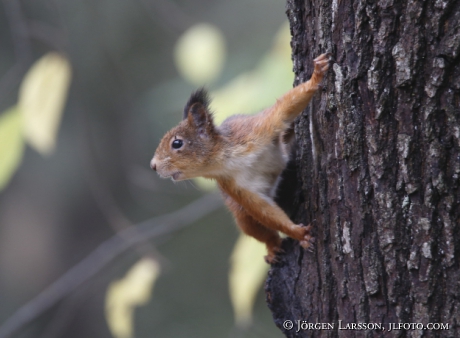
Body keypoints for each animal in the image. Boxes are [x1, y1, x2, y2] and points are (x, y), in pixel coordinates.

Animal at [151, 53, 330, 264]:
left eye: (177, 143)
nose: (153, 165)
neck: (226, 160)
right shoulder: (235, 187)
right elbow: (263, 211)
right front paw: (298, 234)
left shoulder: (257, 129)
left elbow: (284, 109)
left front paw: (316, 77)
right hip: (240, 213)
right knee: (256, 228)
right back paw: (272, 247)